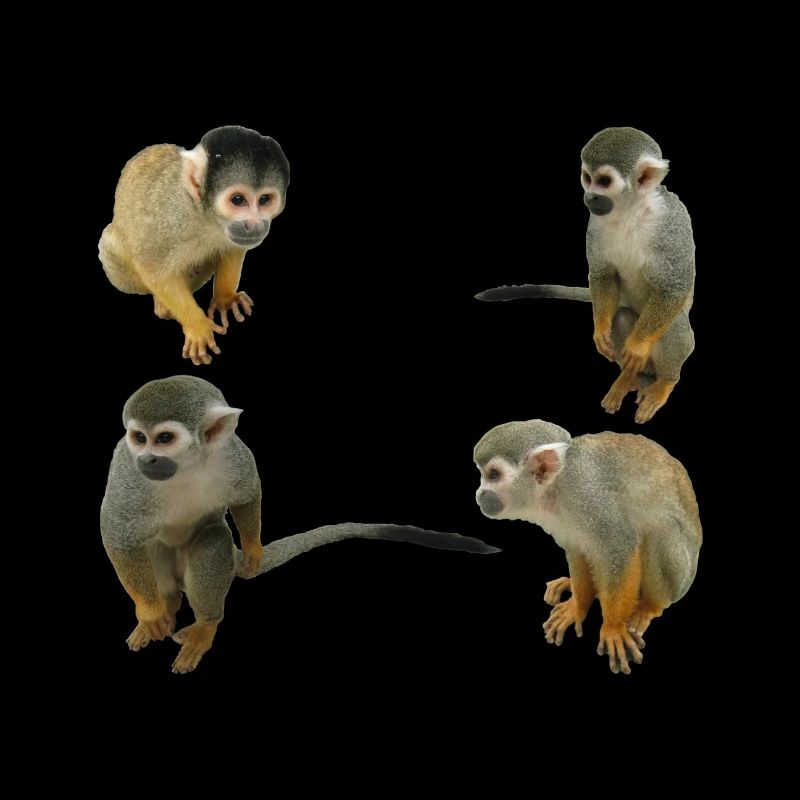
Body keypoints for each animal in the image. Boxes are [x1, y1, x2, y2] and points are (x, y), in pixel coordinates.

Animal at [98, 126, 289, 366]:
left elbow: (232, 249)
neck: (206, 215)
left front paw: (225, 298)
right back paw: (161, 303)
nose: (254, 225)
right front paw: (197, 327)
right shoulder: (170, 217)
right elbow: (151, 266)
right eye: (238, 200)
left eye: (264, 200)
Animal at [101, 376, 499, 673]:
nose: (149, 459)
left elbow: (249, 492)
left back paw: (205, 625)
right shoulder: (127, 470)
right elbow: (117, 533)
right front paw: (150, 611)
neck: (187, 466)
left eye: (165, 439)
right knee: (152, 551)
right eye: (139, 438)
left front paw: (254, 548)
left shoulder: (231, 453)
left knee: (213, 539)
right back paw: (163, 608)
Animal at [473, 419, 701, 674]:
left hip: (682, 572)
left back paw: (649, 606)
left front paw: (613, 628)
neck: (557, 488)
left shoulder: (587, 497)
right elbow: (577, 548)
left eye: (493, 475)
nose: (479, 493)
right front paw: (578, 606)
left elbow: (617, 546)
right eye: (482, 475)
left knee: (661, 531)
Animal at [476, 127, 696, 423]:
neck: (631, 210)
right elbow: (603, 273)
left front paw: (638, 345)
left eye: (604, 181)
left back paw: (664, 382)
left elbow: (674, 286)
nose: (589, 197)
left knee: (672, 324)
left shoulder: (673, 221)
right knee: (622, 317)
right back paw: (628, 378)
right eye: (587, 178)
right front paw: (600, 328)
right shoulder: (594, 222)